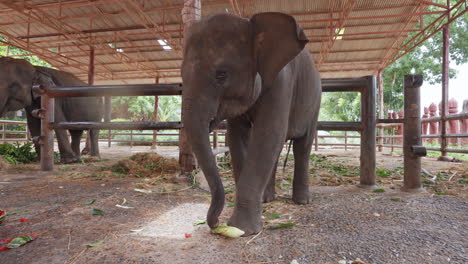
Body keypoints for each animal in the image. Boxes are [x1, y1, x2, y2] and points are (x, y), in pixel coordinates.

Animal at [182, 12, 322, 235]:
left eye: (221, 74)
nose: (215, 224)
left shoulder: (282, 81)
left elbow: (268, 134)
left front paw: (241, 229)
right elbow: (237, 137)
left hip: (315, 102)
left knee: (302, 146)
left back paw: (302, 201)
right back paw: (267, 199)